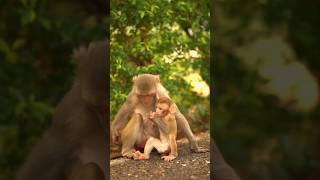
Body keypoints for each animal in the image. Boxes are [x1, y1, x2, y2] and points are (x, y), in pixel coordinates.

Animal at [15, 40, 108, 180]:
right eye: (97, 108)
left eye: (106, 108)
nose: (106, 123)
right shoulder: (72, 111)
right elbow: (53, 153)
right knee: (91, 168)